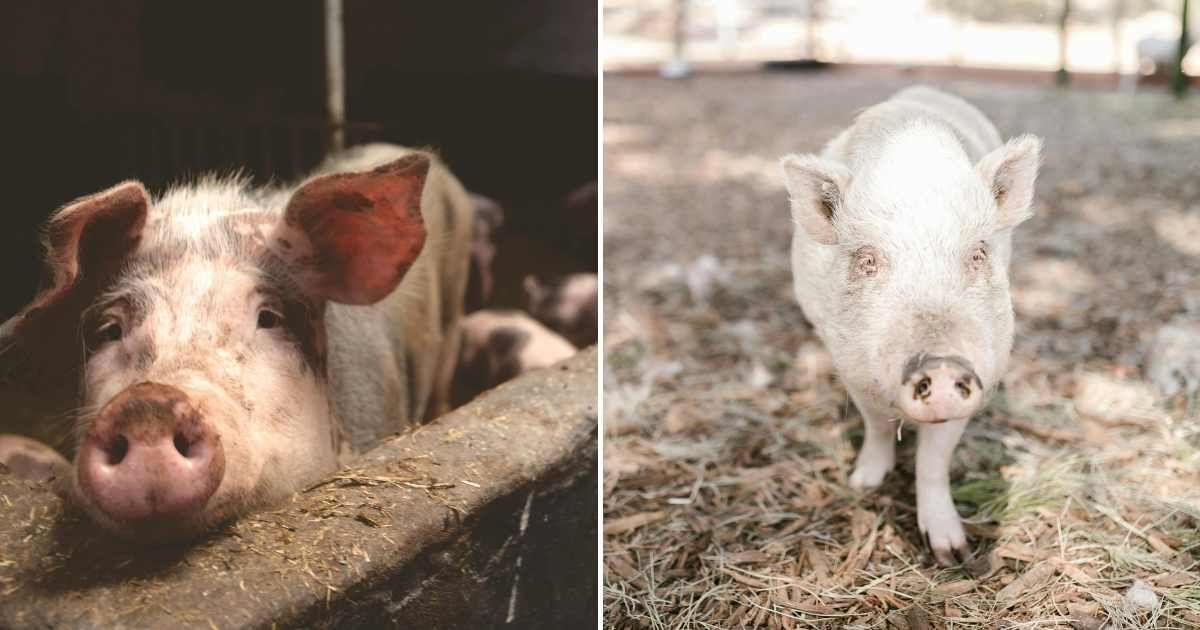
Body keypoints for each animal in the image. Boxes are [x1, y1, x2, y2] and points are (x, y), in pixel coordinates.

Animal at [779, 86, 1041, 565]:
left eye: (978, 253)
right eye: (867, 260)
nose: (941, 366)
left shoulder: (985, 368)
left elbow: (934, 459)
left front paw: (953, 554)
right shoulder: (849, 365)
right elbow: (877, 426)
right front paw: (863, 484)